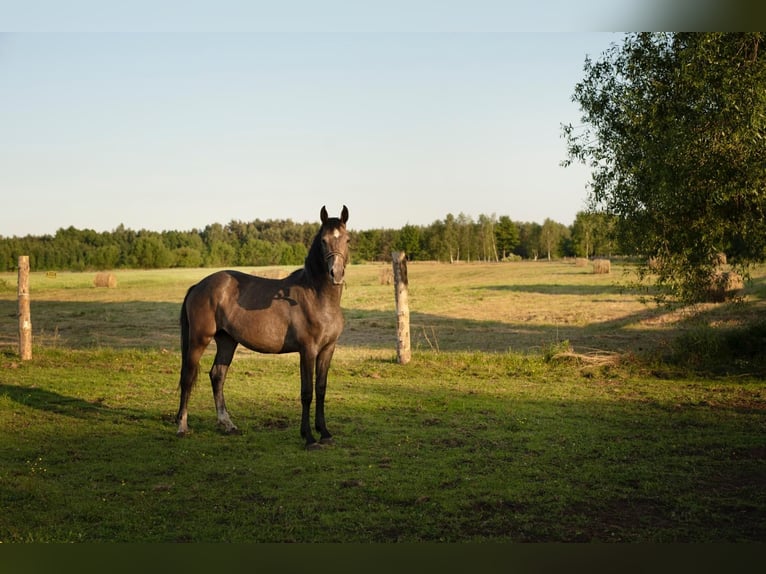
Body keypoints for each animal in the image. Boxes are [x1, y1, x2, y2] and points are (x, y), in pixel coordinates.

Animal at [175, 205, 350, 449]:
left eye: (347, 239)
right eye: (323, 240)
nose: (336, 273)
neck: (317, 297)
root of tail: (198, 285)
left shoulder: (327, 349)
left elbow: (321, 389)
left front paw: (324, 433)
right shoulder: (307, 350)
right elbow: (307, 392)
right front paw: (308, 437)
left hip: (227, 341)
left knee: (217, 375)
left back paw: (228, 424)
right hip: (198, 339)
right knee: (188, 377)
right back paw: (182, 427)